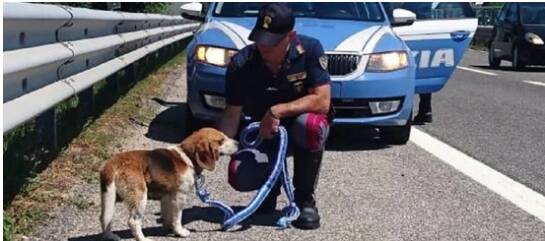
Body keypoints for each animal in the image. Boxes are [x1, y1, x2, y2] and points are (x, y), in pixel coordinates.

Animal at [99, 127, 238, 240]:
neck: (187, 156)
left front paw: (169, 228)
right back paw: (143, 239)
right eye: (221, 140)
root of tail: (113, 163)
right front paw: (180, 232)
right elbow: (177, 217)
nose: (238, 143)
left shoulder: (166, 197)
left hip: (109, 197)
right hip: (139, 197)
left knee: (104, 218)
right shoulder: (179, 197)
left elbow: (168, 216)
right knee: (133, 221)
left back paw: (111, 236)